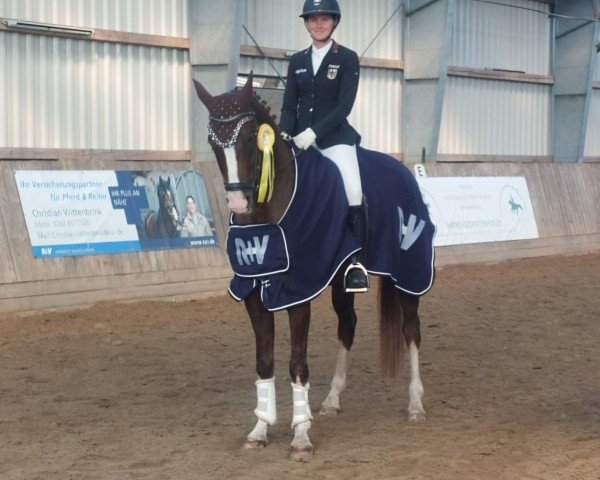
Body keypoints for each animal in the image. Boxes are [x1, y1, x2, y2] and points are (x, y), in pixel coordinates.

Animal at [192, 75, 432, 462]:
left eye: (249, 136)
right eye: (213, 140)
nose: (238, 204)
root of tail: (404, 171)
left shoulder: (298, 291)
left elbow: (297, 364)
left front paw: (301, 437)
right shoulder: (254, 292)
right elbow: (264, 362)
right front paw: (260, 430)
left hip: (410, 274)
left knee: (412, 330)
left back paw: (415, 405)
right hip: (342, 282)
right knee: (348, 327)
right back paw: (332, 400)